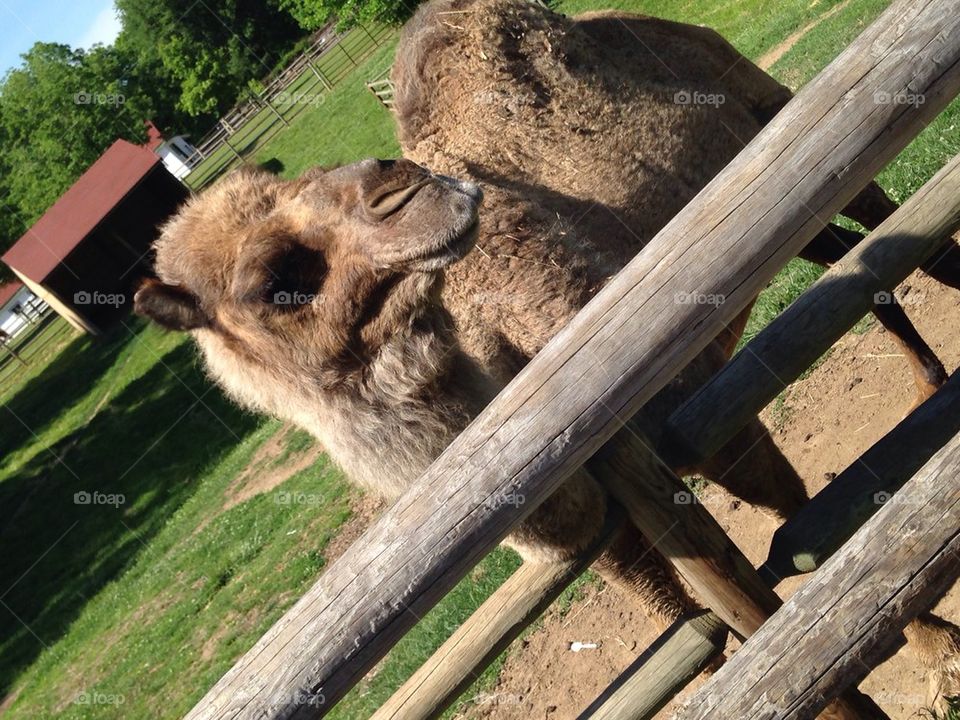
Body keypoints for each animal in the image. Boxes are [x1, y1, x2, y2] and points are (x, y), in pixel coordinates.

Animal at [135, 0, 960, 708]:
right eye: (274, 283)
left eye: (307, 179)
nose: (400, 183)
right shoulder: (605, 519)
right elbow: (697, 611)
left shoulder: (675, 415)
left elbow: (800, 521)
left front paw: (935, 652)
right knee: (851, 258)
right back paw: (929, 381)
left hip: (766, 101)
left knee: (879, 216)